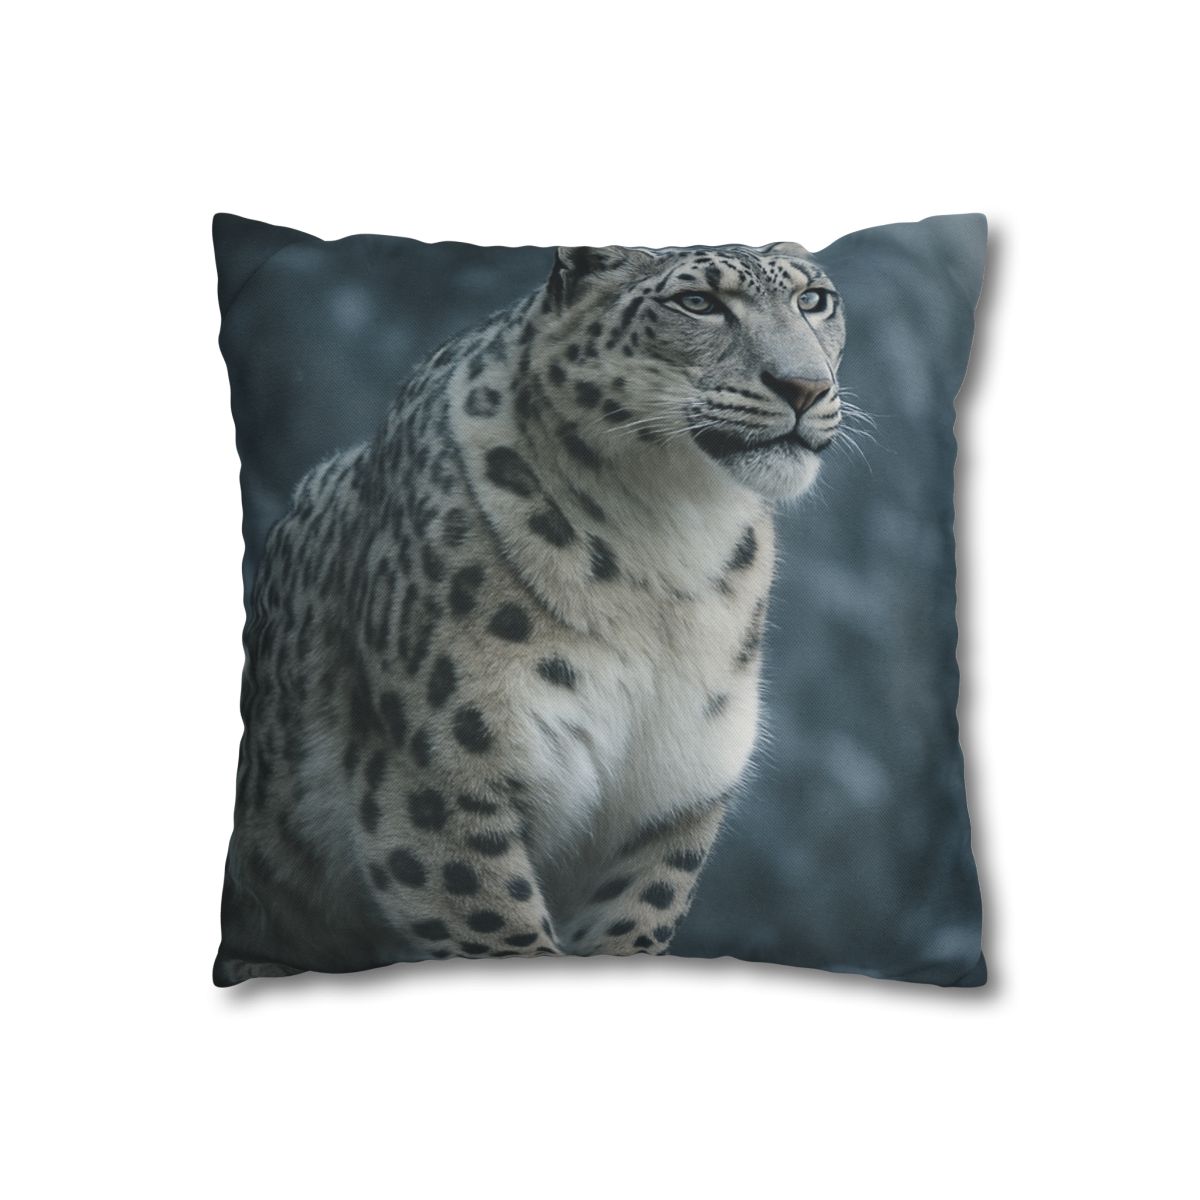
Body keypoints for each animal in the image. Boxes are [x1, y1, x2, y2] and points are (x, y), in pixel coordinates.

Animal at [214, 240, 846, 985]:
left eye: (814, 300)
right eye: (698, 302)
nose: (804, 386)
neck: (675, 543)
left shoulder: (670, 803)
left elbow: (633, 925)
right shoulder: (438, 783)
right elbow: (498, 925)